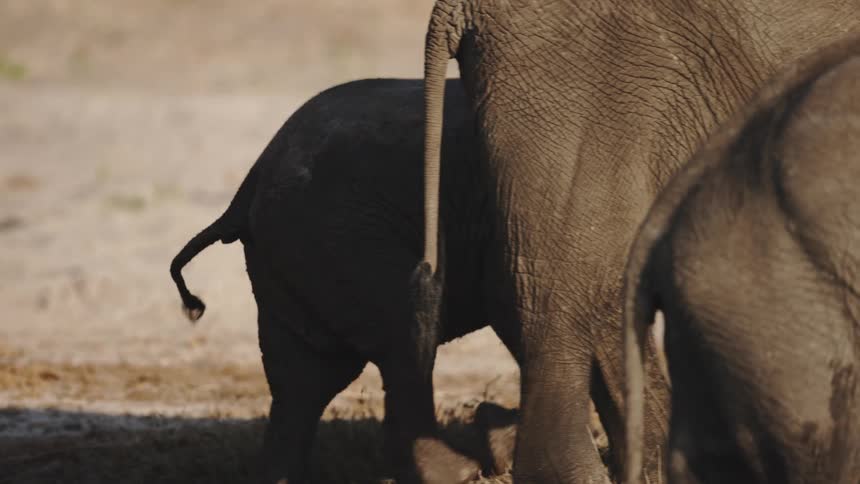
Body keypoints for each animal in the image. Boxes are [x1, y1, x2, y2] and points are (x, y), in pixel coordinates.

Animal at [170, 78, 504, 484]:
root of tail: (247, 187)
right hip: (349, 240)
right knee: (403, 343)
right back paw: (456, 472)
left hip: (303, 247)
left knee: (305, 377)